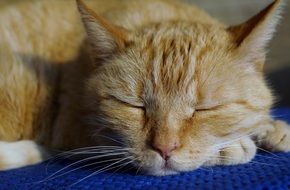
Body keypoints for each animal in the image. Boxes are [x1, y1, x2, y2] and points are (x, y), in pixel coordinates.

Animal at [0, 0, 290, 175]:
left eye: (204, 109)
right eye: (134, 106)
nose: (164, 149)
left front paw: (268, 127)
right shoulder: (69, 129)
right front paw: (235, 144)